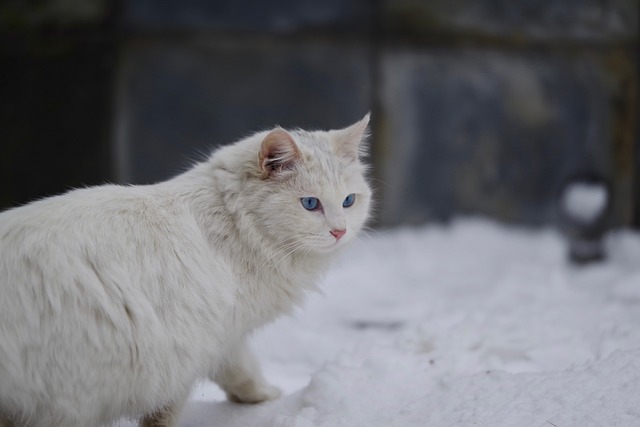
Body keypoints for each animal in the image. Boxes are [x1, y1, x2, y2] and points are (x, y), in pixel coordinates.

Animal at [0, 114, 372, 427]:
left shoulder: (221, 338)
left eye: (349, 201)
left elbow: (237, 370)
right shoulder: (201, 343)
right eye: (310, 204)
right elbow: (227, 377)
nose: (340, 231)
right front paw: (262, 396)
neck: (234, 221)